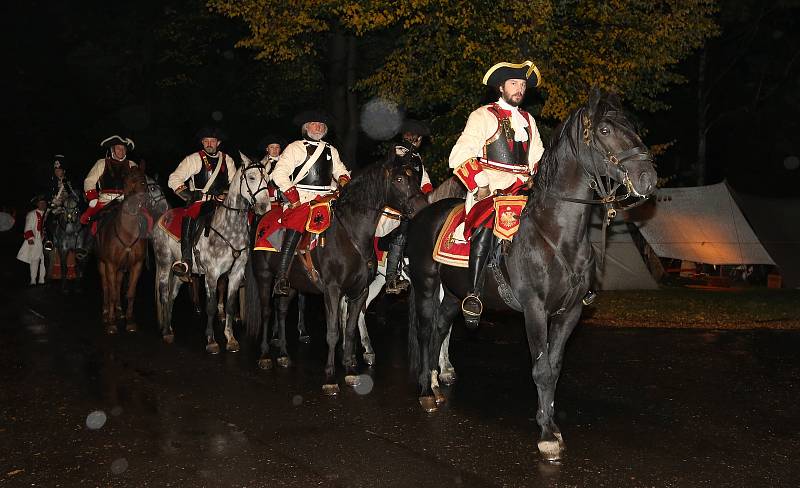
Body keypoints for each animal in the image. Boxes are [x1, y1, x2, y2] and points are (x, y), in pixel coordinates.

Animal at [94, 166, 150, 334]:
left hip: (120, 268)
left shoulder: (136, 265)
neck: (127, 232)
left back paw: (119, 311)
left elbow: (130, 293)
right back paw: (107, 311)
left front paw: (130, 321)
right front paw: (111, 323)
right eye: (128, 180)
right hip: (102, 264)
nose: (141, 199)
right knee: (106, 286)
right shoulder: (110, 265)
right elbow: (112, 293)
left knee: (118, 284)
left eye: (144, 180)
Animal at [245, 160, 428, 392]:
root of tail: (261, 220)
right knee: (267, 312)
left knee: (282, 311)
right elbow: (332, 333)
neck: (351, 233)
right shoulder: (332, 291)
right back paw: (265, 355)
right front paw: (331, 378)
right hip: (264, 276)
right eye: (399, 179)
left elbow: (349, 330)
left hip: (291, 284)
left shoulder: (359, 291)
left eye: (416, 178)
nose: (422, 208)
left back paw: (284, 354)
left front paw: (349, 370)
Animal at [406, 90, 656, 462]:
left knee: (438, 329)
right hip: (426, 286)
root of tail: (425, 214)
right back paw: (425, 391)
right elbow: (540, 368)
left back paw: (436, 384)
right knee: (424, 333)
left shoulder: (569, 313)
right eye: (606, 130)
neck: (556, 234)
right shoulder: (535, 311)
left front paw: (550, 424)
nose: (648, 178)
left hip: (453, 294)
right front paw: (547, 436)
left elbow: (553, 367)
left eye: (632, 126)